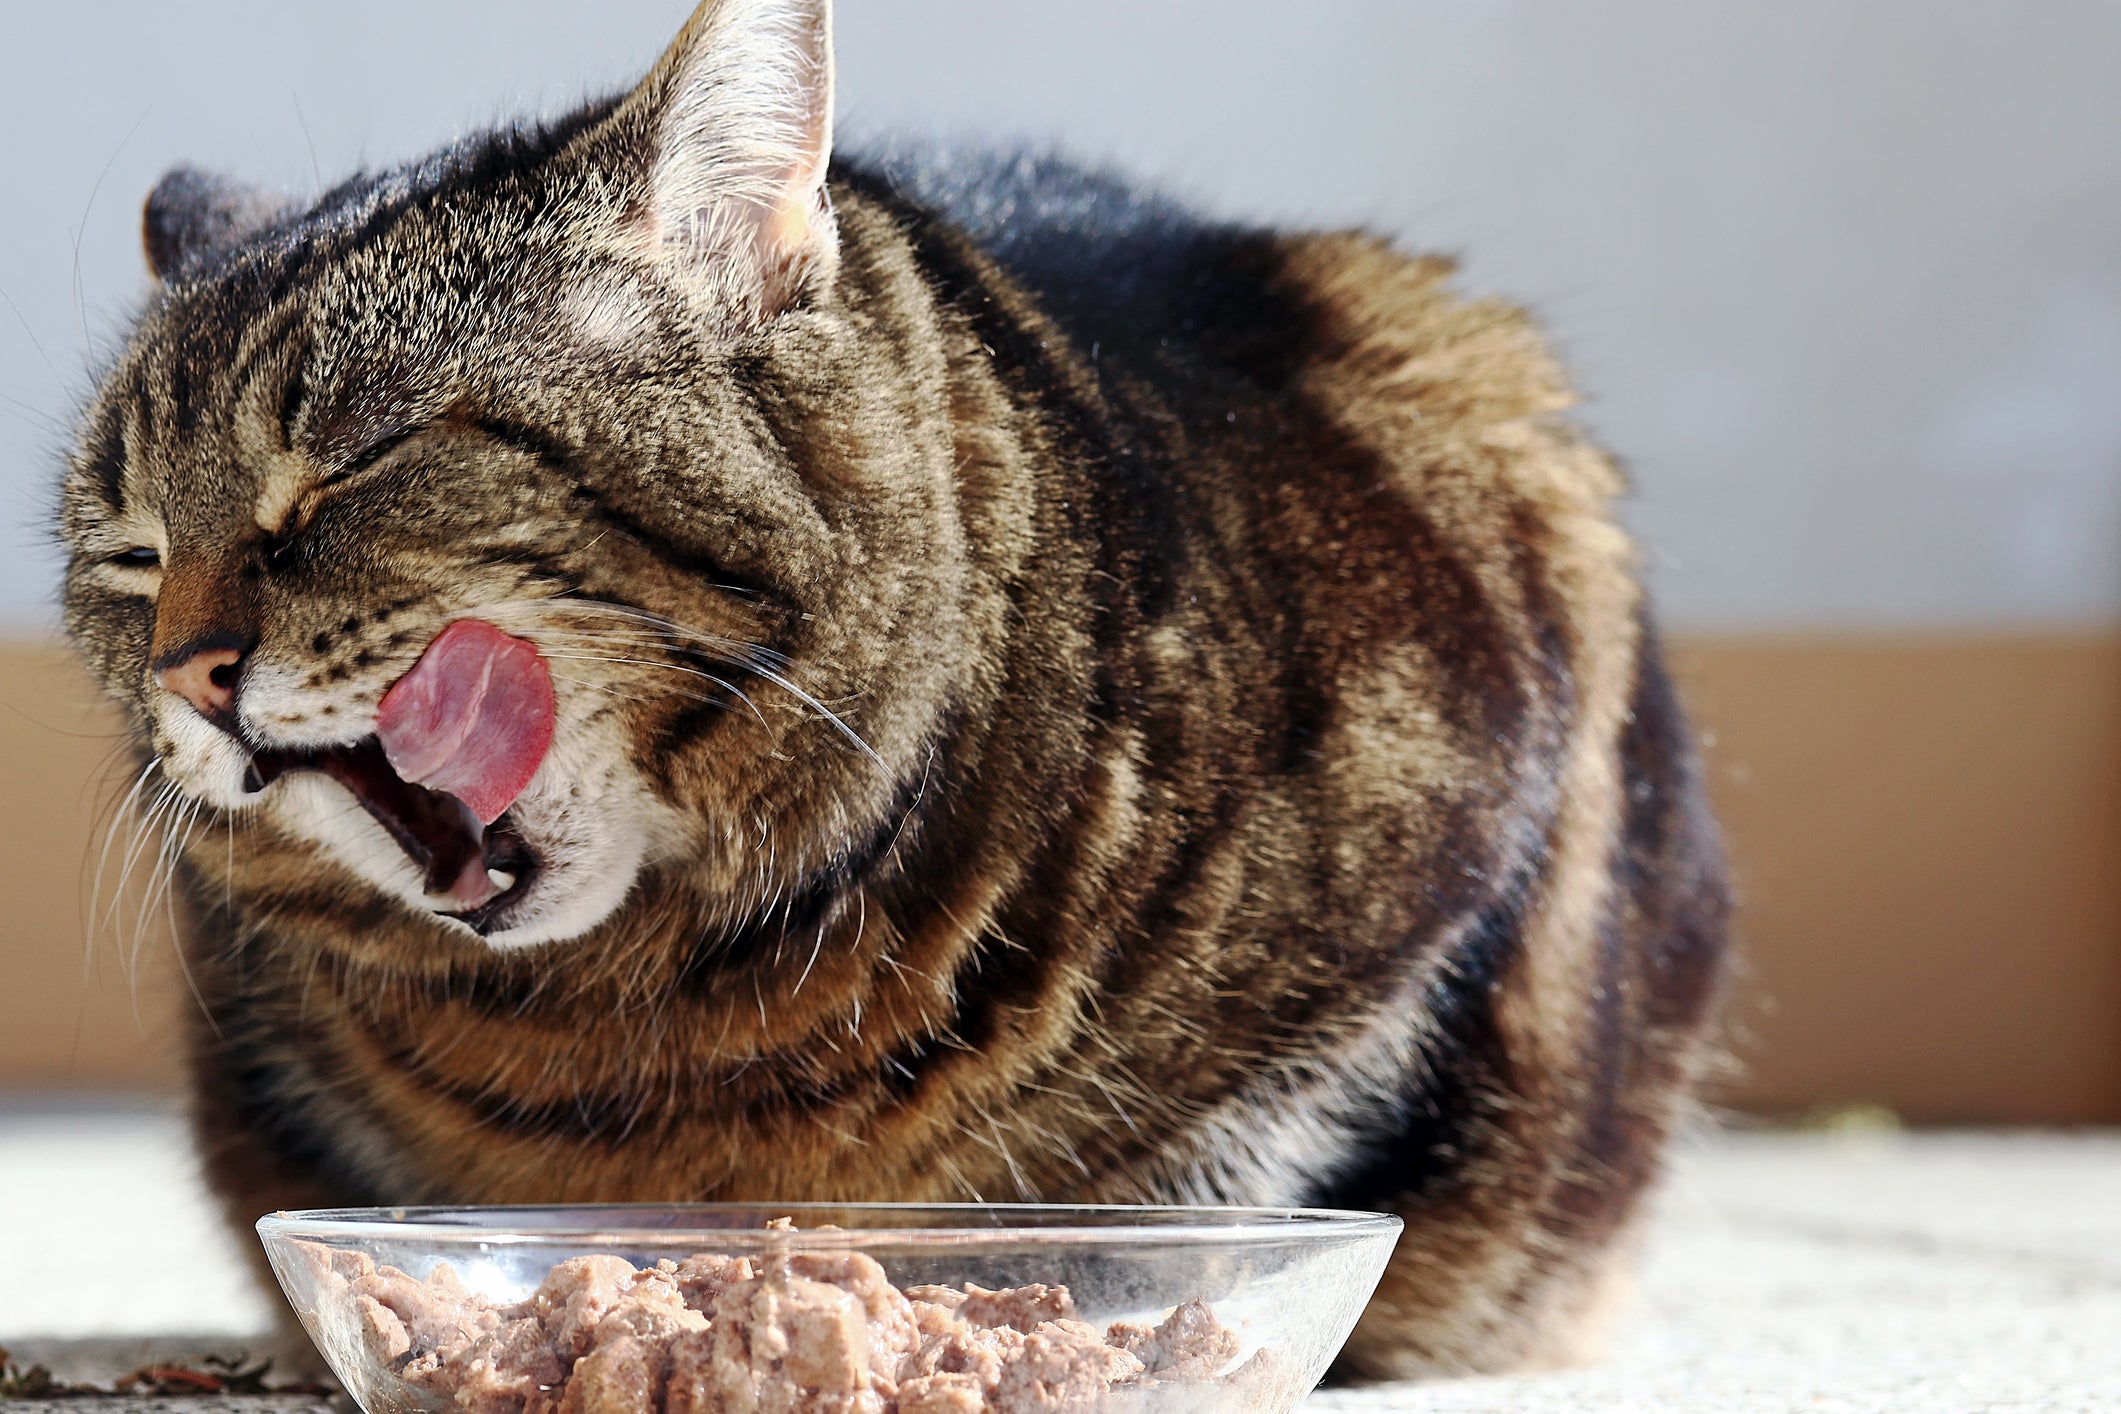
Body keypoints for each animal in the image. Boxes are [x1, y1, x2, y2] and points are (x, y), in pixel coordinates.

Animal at [58, 0, 1730, 1382]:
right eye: (133, 555)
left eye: (355, 461)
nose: (190, 670)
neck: (664, 1038)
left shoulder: (1441, 858)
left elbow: (1211, 1180)